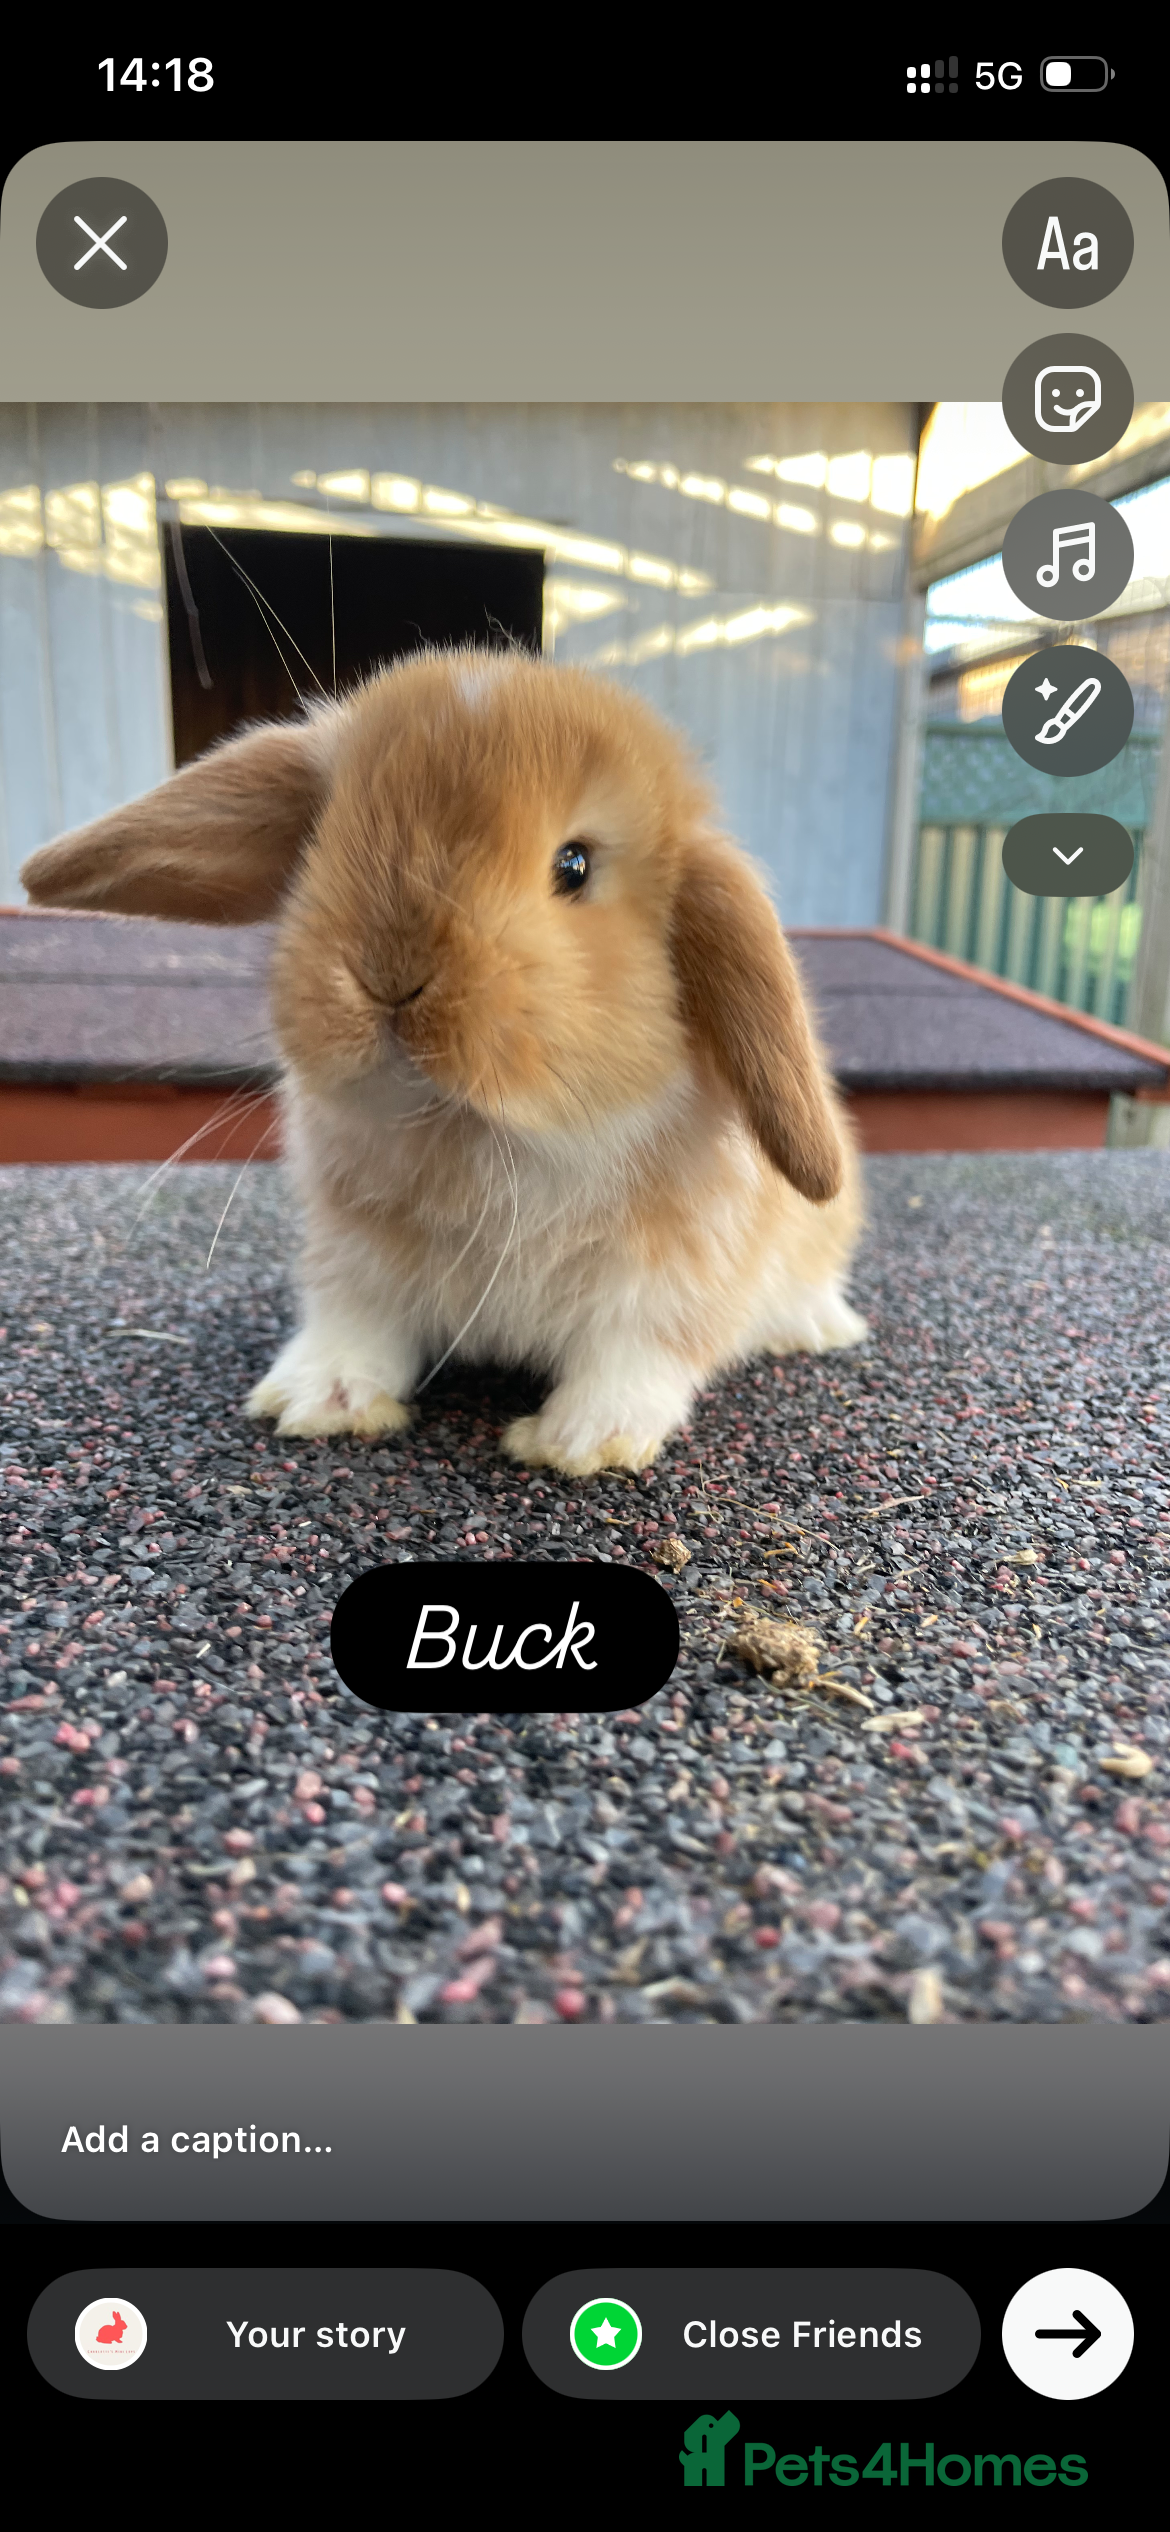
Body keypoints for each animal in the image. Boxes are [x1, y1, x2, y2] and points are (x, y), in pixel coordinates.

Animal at [20, 646, 868, 1477]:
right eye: (322, 837)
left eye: (574, 866)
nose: (388, 976)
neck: (483, 1132)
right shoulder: (353, 1259)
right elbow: (355, 1324)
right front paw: (321, 1401)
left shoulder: (674, 1277)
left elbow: (636, 1355)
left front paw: (580, 1442)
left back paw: (816, 1326)